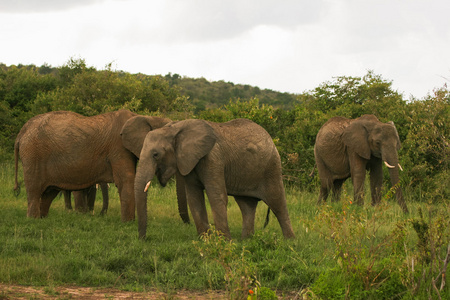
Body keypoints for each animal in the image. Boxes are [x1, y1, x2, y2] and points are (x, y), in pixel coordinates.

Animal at [13, 109, 172, 220]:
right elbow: (126, 180)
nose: (100, 215)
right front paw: (129, 223)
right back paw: (33, 220)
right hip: (33, 155)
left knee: (48, 193)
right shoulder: (118, 147)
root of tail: (22, 132)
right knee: (34, 191)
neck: (146, 117)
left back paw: (42, 219)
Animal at [123, 117, 298, 239]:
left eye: (156, 154)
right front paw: (205, 240)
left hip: (271, 167)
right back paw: (247, 240)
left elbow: (216, 196)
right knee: (246, 205)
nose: (143, 239)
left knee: (277, 202)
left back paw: (289, 242)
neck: (176, 129)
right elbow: (194, 198)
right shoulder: (190, 161)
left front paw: (225, 242)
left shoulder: (212, 158)